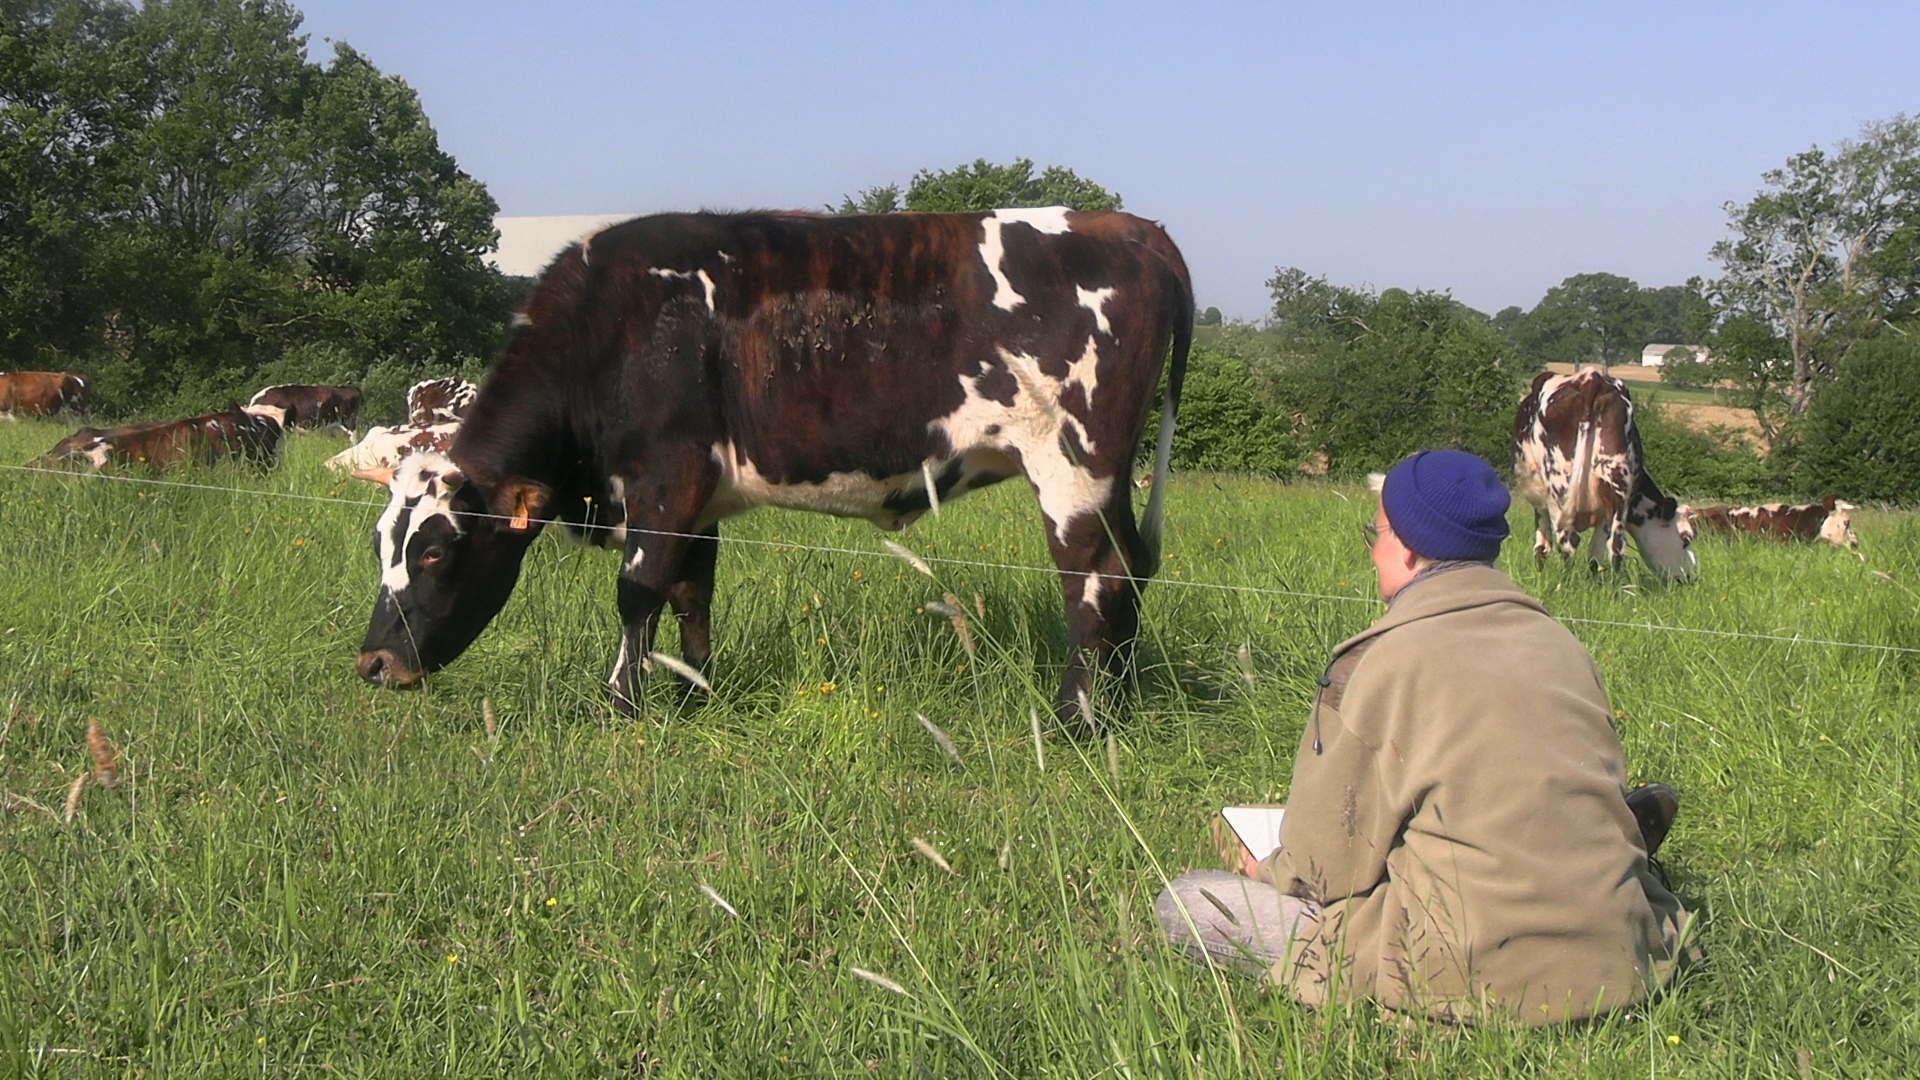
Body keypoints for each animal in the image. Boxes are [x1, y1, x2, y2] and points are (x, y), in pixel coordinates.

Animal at [352, 208, 1192, 729]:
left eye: (436, 550)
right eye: (382, 542)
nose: (373, 663)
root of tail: (1131, 226)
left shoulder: (665, 479)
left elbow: (637, 593)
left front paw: (623, 706)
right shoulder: (697, 504)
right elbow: (691, 595)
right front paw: (694, 694)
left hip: (1072, 464)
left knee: (1093, 580)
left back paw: (1074, 720)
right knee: (1129, 574)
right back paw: (1114, 705)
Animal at [1512, 370, 1696, 579]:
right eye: (1686, 539)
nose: (1692, 577)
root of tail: (1590, 378)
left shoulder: (1542, 503)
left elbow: (1542, 546)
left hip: (1558, 490)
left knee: (1568, 543)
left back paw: (1563, 584)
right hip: (1616, 486)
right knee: (1614, 548)